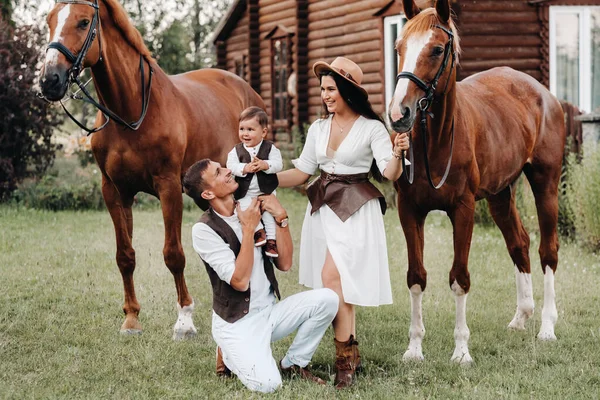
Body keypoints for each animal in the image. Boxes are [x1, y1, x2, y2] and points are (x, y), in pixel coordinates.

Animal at [40, 0, 264, 340]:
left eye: (83, 22)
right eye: (50, 21)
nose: (49, 79)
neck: (131, 111)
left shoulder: (169, 187)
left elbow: (174, 254)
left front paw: (184, 320)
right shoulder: (115, 191)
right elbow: (125, 255)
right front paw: (132, 318)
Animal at [390, 0, 568, 362]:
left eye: (437, 49)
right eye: (399, 47)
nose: (400, 114)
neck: (436, 142)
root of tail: (543, 92)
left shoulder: (464, 209)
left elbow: (459, 278)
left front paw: (461, 351)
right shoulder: (409, 210)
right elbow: (416, 276)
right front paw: (414, 348)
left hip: (546, 185)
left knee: (548, 250)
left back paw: (546, 326)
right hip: (500, 194)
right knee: (519, 242)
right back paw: (522, 315)